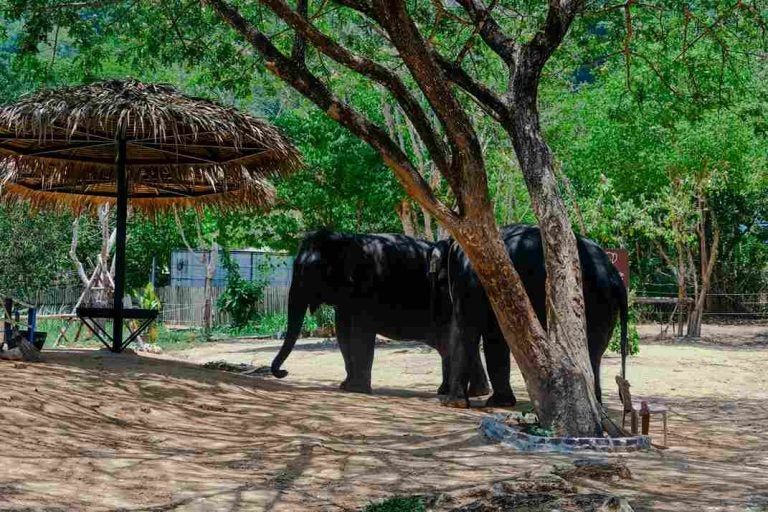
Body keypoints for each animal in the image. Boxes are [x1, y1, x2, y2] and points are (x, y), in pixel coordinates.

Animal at [270, 229, 491, 396]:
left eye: (310, 268)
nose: (284, 372)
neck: (346, 237)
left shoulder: (367, 286)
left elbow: (361, 333)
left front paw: (357, 389)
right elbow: (343, 333)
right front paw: (346, 386)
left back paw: (464, 392)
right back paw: (466, 392)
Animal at [434, 223, 629, 409]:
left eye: (441, 280)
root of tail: (615, 275)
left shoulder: (470, 279)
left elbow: (466, 328)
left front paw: (452, 403)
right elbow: (495, 337)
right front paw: (501, 402)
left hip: (594, 299)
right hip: (605, 305)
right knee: (595, 352)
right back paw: (596, 405)